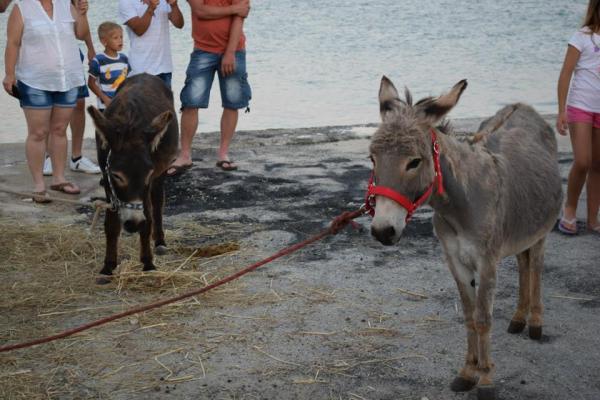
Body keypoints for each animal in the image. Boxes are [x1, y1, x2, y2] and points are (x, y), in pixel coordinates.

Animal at [87, 73, 179, 281]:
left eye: (147, 173)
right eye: (117, 175)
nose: (133, 224)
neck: (130, 125)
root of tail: (146, 74)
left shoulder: (150, 178)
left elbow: (148, 217)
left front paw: (148, 263)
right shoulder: (107, 179)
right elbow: (111, 224)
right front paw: (108, 267)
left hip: (161, 174)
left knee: (157, 203)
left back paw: (159, 241)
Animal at [367, 76, 562, 400]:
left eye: (414, 162)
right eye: (372, 158)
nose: (383, 230)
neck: (458, 206)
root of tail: (523, 105)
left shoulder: (486, 262)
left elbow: (483, 318)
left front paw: (485, 381)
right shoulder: (455, 260)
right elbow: (469, 316)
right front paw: (468, 373)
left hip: (541, 229)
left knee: (535, 265)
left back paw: (535, 322)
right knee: (523, 263)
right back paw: (518, 319)